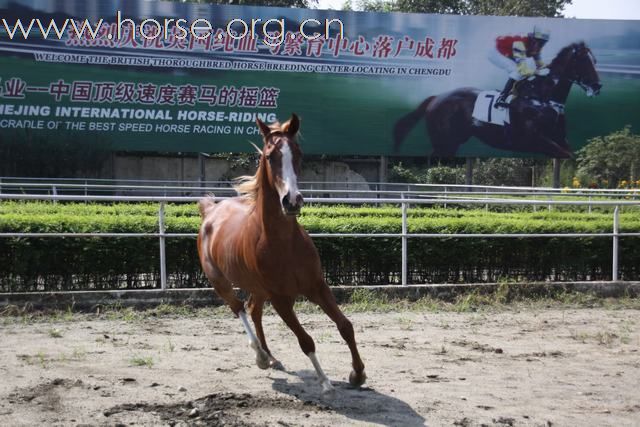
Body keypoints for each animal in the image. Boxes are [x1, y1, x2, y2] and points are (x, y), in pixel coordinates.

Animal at [195, 113, 364, 394]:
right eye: (269, 155)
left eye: (298, 153)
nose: (292, 200)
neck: (283, 243)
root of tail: (211, 211)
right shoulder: (280, 299)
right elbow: (306, 340)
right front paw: (325, 381)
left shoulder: (317, 286)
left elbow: (345, 326)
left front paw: (358, 374)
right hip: (221, 283)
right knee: (239, 308)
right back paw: (261, 356)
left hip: (258, 289)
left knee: (254, 310)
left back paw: (271, 357)